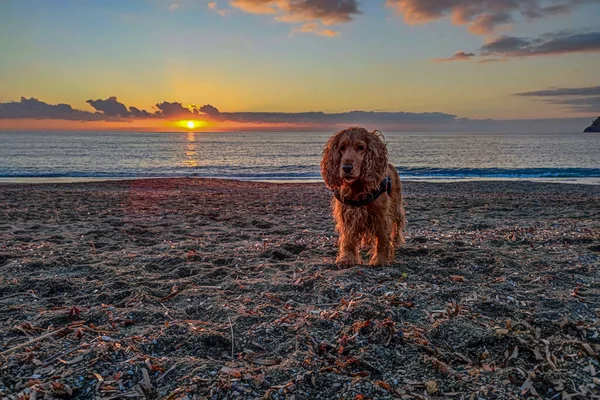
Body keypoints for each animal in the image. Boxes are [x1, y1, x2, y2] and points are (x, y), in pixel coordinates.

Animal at [322, 127, 406, 266]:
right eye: (341, 147)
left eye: (361, 147)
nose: (346, 167)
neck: (357, 188)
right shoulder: (347, 214)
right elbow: (347, 238)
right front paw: (347, 258)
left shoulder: (381, 215)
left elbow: (382, 238)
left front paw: (380, 259)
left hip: (397, 207)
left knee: (398, 224)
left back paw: (397, 241)